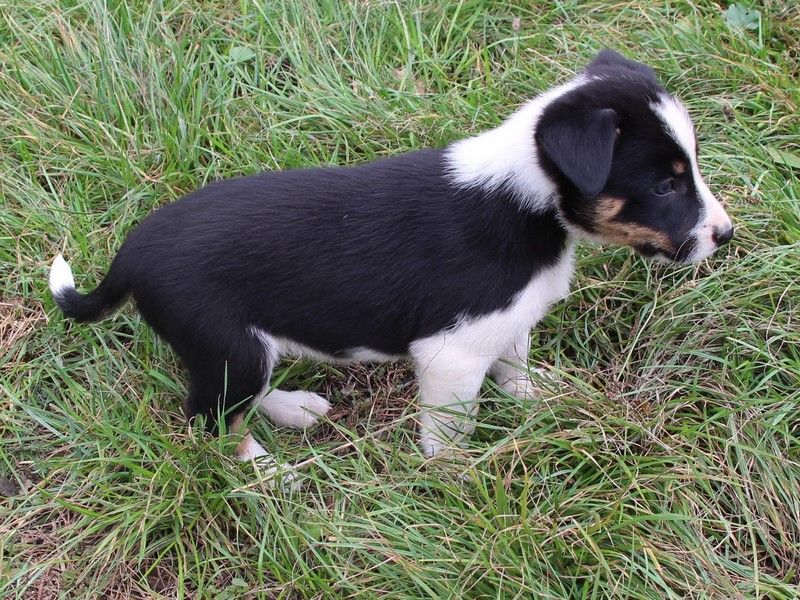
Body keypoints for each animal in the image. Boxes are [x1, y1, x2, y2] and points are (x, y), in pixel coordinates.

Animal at [49, 50, 733, 479]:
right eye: (666, 185)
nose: (725, 236)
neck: (528, 200)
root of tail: (132, 252)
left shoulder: (505, 323)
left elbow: (515, 367)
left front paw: (542, 405)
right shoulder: (449, 354)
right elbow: (451, 432)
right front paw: (455, 485)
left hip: (235, 350)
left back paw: (294, 410)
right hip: (229, 346)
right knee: (211, 421)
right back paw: (269, 475)